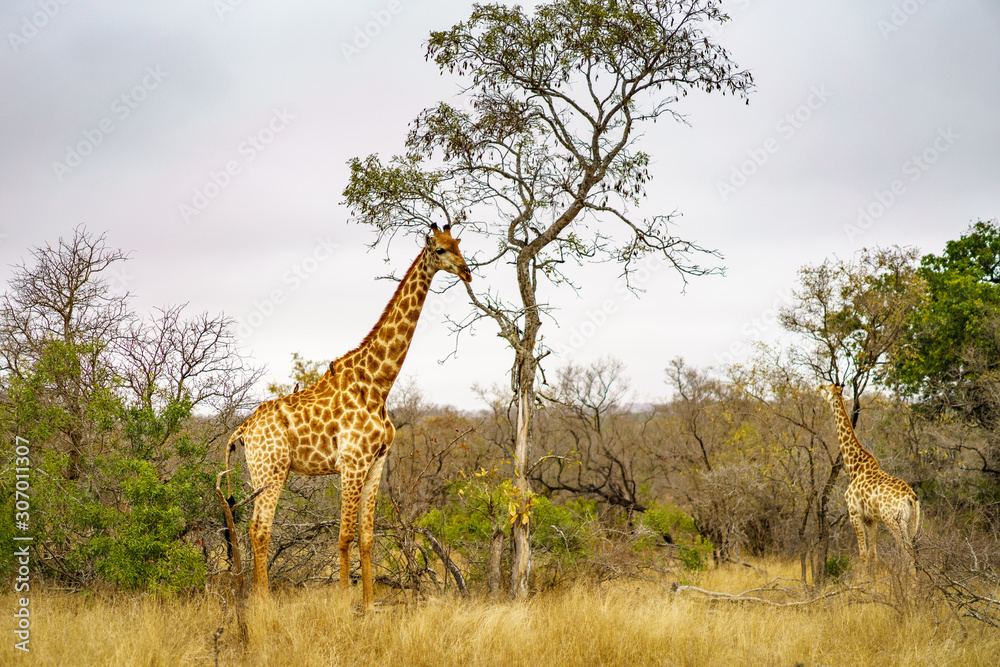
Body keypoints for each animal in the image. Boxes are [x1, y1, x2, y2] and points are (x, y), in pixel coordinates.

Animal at [225, 223, 471, 612]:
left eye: (459, 245)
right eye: (441, 250)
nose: (467, 271)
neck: (378, 383)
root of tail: (244, 428)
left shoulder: (375, 464)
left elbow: (367, 538)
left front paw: (369, 606)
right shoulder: (351, 463)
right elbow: (343, 536)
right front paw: (343, 604)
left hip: (268, 471)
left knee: (257, 529)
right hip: (270, 470)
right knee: (259, 530)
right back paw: (263, 604)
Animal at [818, 383, 920, 573]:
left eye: (826, 389)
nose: (819, 386)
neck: (854, 466)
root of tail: (911, 497)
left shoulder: (854, 514)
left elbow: (863, 555)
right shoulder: (871, 519)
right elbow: (873, 555)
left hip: (895, 522)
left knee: (907, 554)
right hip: (912, 523)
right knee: (914, 554)